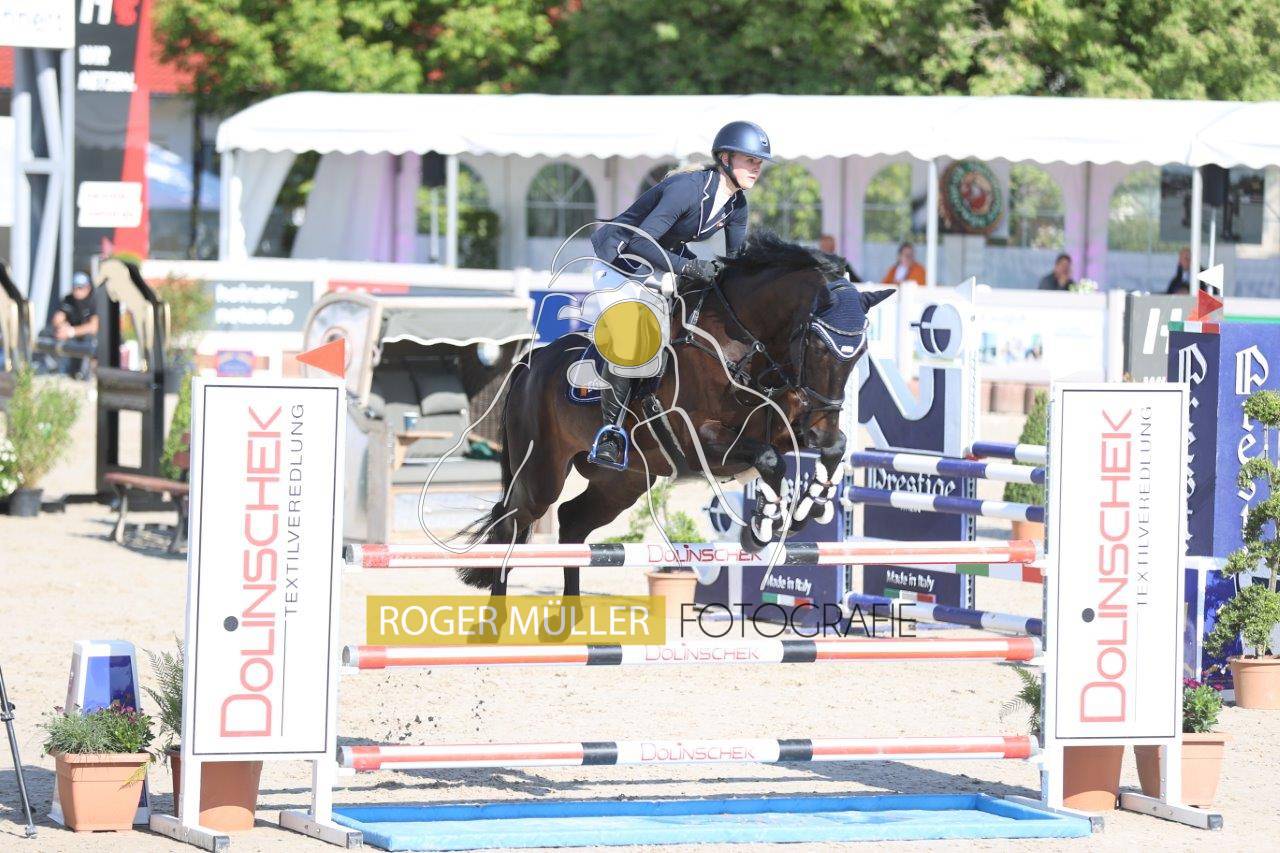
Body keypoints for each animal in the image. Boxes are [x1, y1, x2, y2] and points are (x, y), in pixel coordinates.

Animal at [462, 232, 892, 597]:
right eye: (818, 347)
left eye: (860, 353)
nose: (820, 428)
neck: (744, 345)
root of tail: (531, 363)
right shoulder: (701, 442)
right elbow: (770, 461)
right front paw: (763, 525)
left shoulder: (783, 429)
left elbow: (834, 449)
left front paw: (810, 506)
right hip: (541, 473)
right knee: (512, 523)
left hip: (623, 481)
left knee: (571, 522)